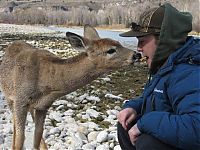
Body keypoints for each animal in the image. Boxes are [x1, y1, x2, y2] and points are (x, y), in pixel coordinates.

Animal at [0, 25, 141, 149]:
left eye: (119, 43)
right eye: (110, 50)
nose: (136, 55)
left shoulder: (43, 106)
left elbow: (37, 138)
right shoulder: (20, 100)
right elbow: (19, 140)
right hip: (9, 98)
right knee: (15, 126)